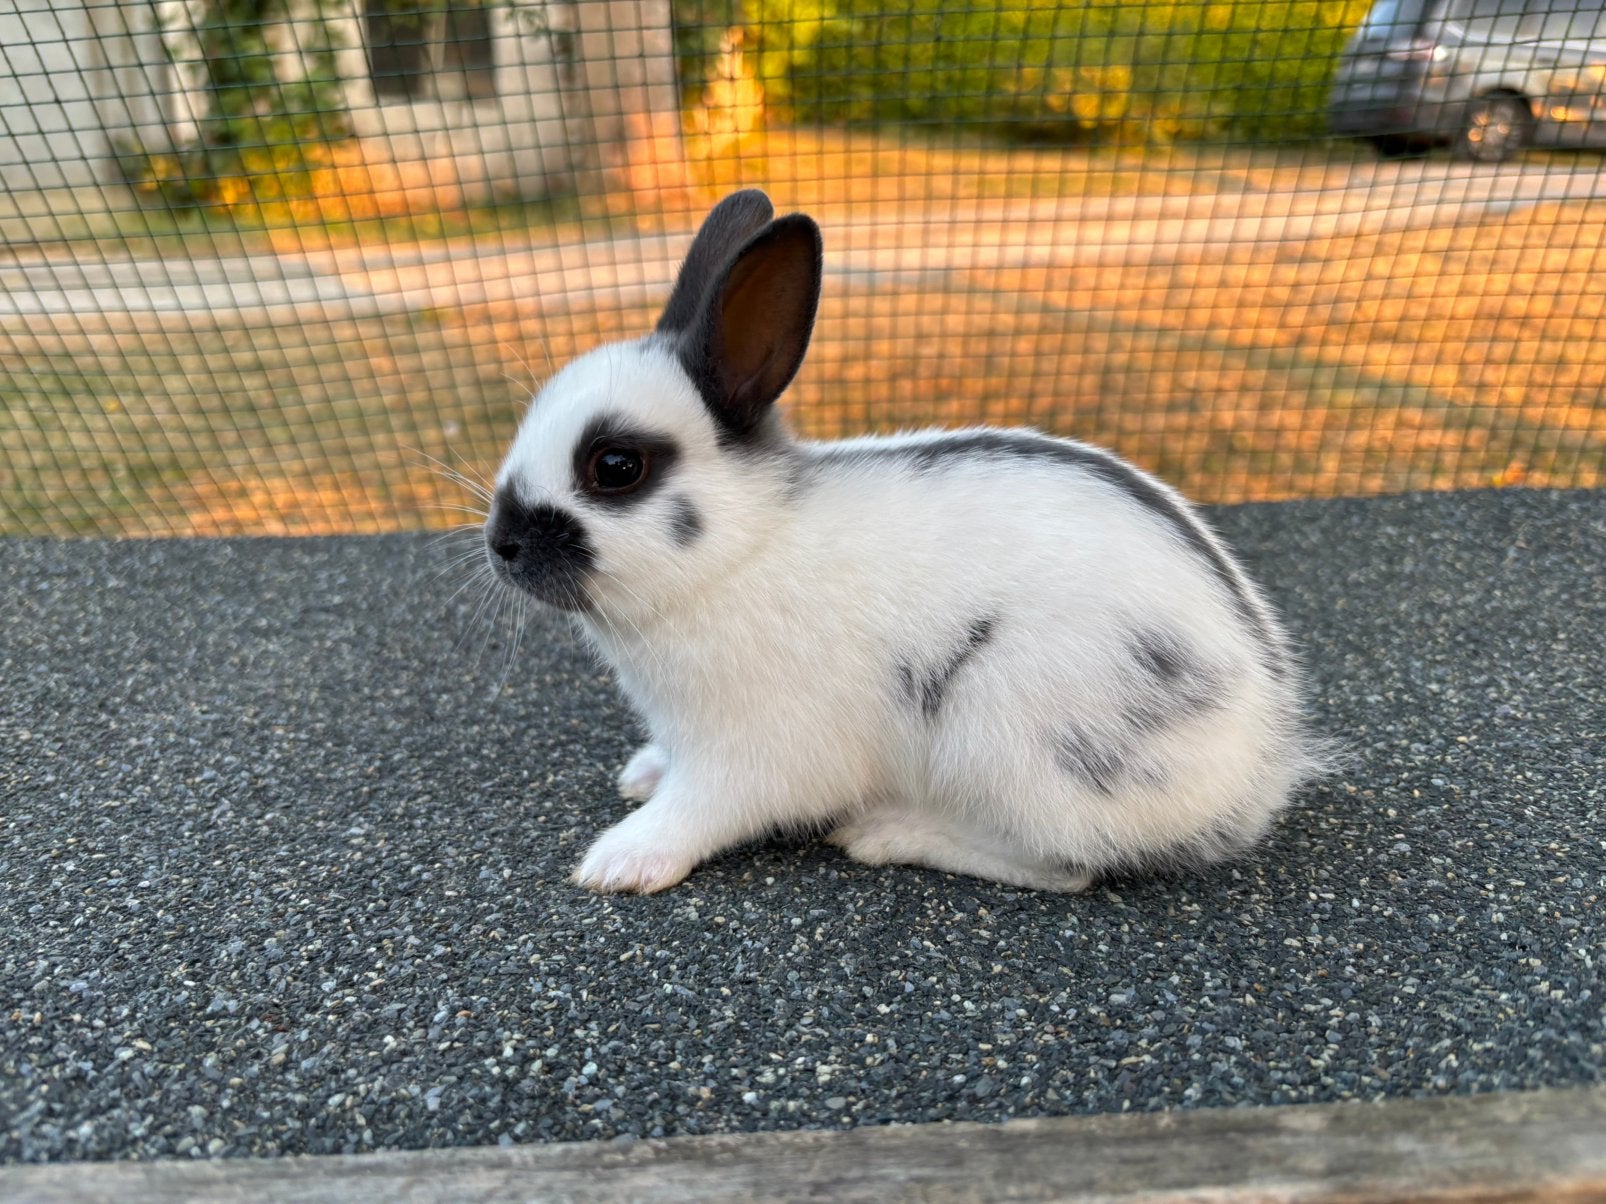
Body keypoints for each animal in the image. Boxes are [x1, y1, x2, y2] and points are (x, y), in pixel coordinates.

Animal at [483, 188, 1330, 895]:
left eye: (615, 467)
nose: (501, 545)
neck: (737, 553)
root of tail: (1258, 767)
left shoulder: (754, 755)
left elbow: (701, 810)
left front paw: (620, 861)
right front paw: (643, 773)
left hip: (1012, 737)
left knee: (1065, 866)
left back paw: (890, 832)